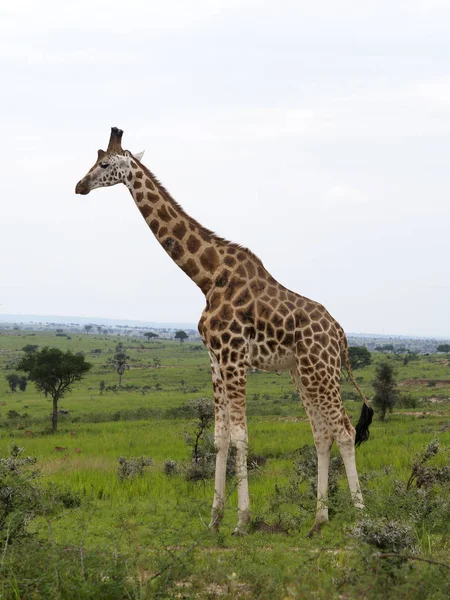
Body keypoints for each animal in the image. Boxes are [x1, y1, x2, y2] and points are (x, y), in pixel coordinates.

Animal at [76, 126, 372, 536]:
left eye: (104, 164)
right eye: (94, 159)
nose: (79, 186)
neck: (206, 276)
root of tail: (341, 336)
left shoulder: (234, 357)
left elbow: (240, 437)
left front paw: (242, 521)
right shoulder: (215, 360)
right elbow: (218, 439)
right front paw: (215, 518)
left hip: (321, 368)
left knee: (344, 430)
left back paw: (360, 519)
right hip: (302, 373)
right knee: (322, 433)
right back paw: (318, 520)